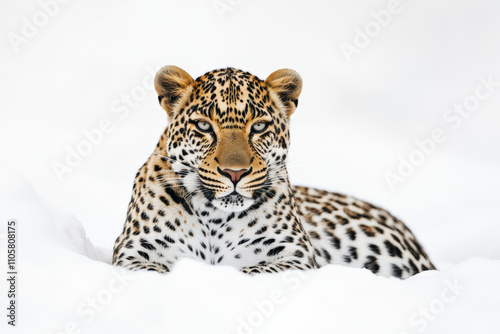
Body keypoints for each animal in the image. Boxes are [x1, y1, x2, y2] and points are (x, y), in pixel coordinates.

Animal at [112, 64, 434, 278]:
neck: (214, 217)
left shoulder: (296, 254)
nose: (234, 173)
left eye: (259, 127)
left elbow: (256, 271)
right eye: (204, 126)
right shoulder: (134, 250)